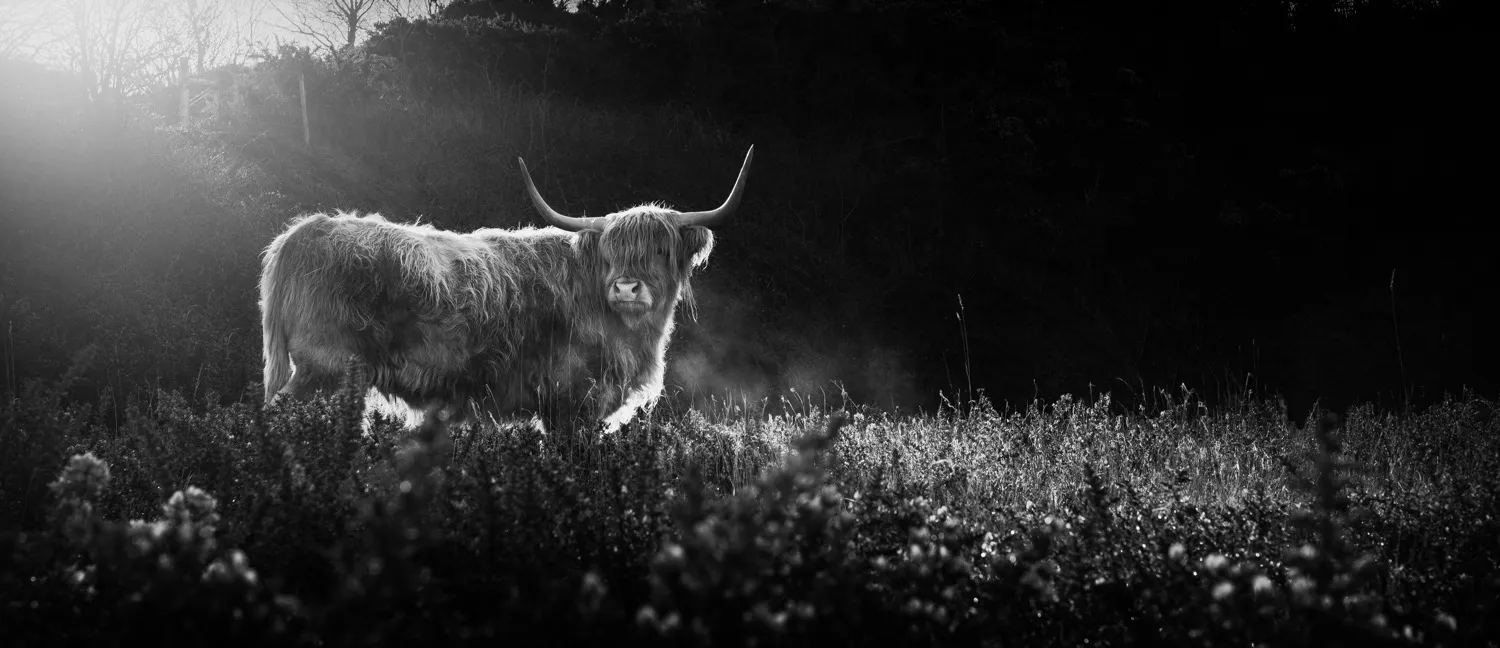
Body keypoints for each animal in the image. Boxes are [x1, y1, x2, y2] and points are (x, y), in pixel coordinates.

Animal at [259, 146, 754, 431]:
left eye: (660, 250)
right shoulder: (569, 403)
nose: (627, 287)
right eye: (612, 252)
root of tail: (304, 230)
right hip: (326, 369)